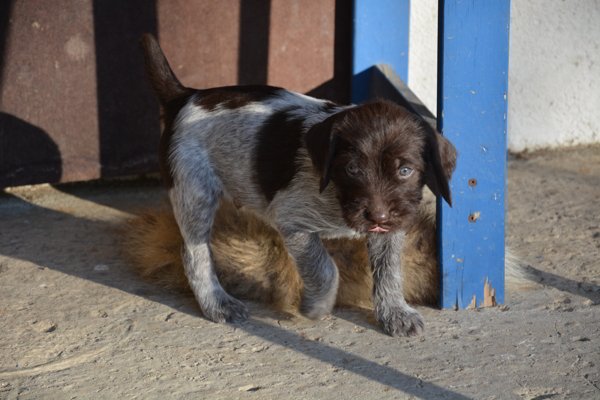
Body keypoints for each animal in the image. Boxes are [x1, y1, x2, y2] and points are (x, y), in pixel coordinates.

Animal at [140, 34, 456, 336]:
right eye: (352, 169)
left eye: (405, 170)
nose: (376, 216)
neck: (336, 197)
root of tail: (186, 96)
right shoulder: (293, 221)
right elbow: (325, 268)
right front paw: (315, 306)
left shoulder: (389, 226)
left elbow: (389, 269)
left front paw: (394, 312)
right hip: (195, 191)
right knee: (195, 254)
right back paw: (217, 304)